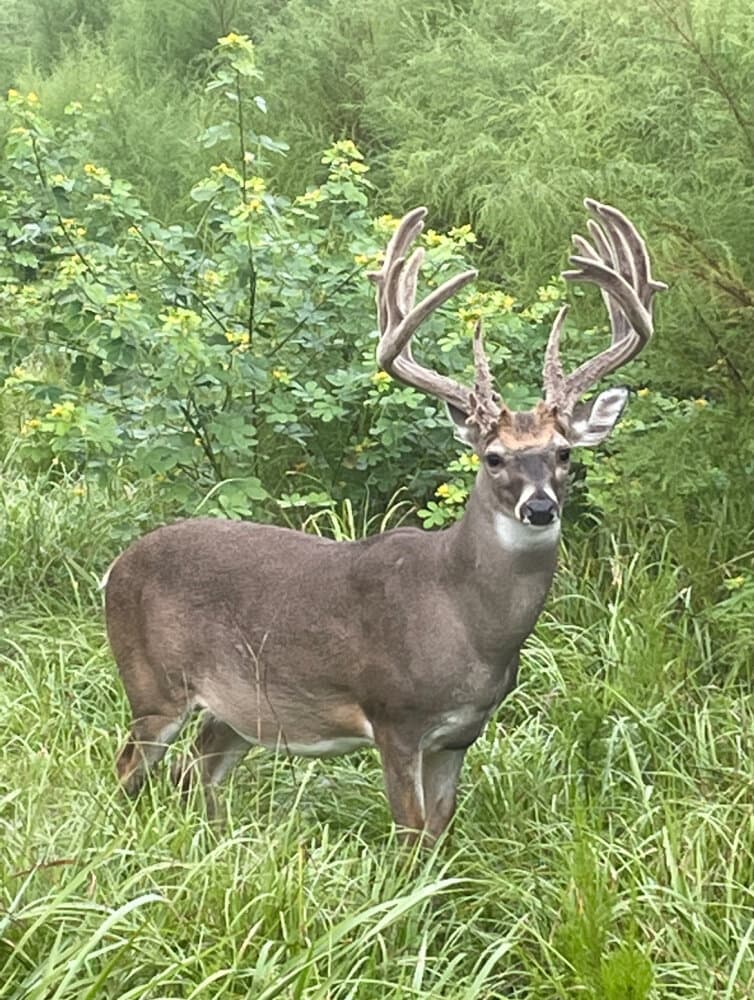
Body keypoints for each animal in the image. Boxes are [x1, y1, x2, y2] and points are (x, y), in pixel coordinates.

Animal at [103, 199, 665, 843]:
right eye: (493, 457)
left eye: (565, 452)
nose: (540, 506)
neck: (467, 623)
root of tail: (115, 568)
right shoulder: (394, 716)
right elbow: (410, 832)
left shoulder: (461, 733)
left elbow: (439, 829)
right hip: (153, 683)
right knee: (129, 767)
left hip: (239, 709)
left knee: (197, 771)